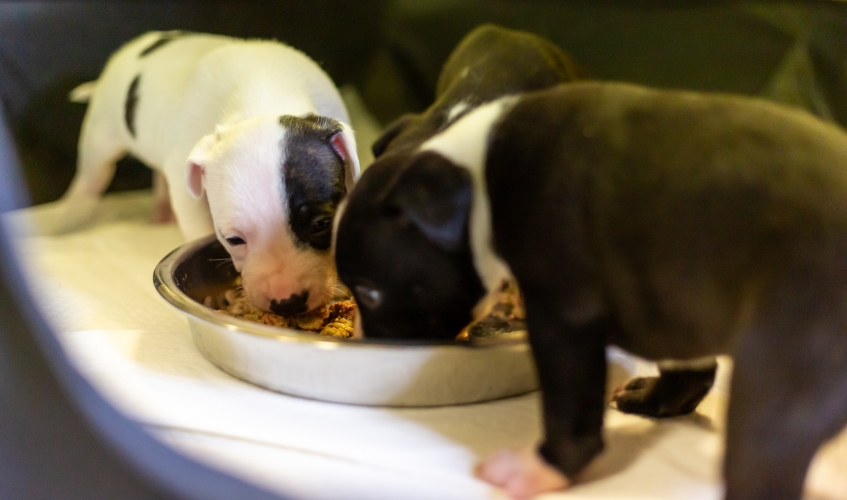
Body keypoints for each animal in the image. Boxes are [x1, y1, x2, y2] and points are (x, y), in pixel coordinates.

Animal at [334, 80, 847, 498]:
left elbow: (571, 409)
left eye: (371, 294)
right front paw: (657, 398)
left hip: (781, 379)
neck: (476, 178)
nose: (362, 339)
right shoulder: (667, 298)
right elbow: (690, 364)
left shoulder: (564, 317)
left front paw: (543, 468)